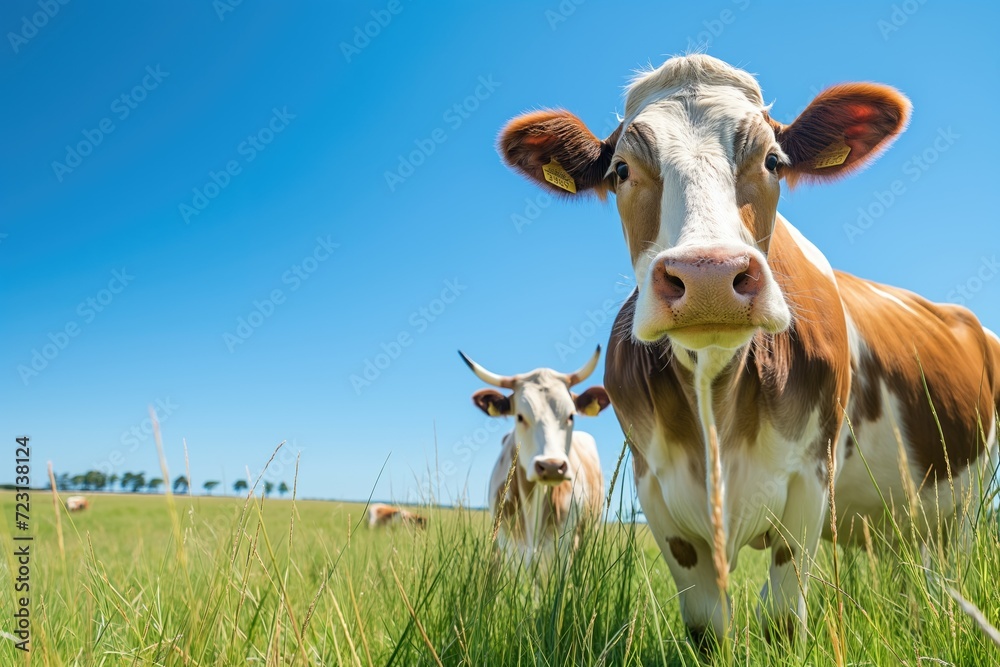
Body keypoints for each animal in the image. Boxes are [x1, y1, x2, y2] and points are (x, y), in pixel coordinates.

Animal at [500, 56, 1000, 648]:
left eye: (773, 160)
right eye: (621, 170)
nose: (709, 275)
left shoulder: (811, 482)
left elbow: (782, 618)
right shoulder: (657, 495)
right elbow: (707, 626)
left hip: (963, 510)